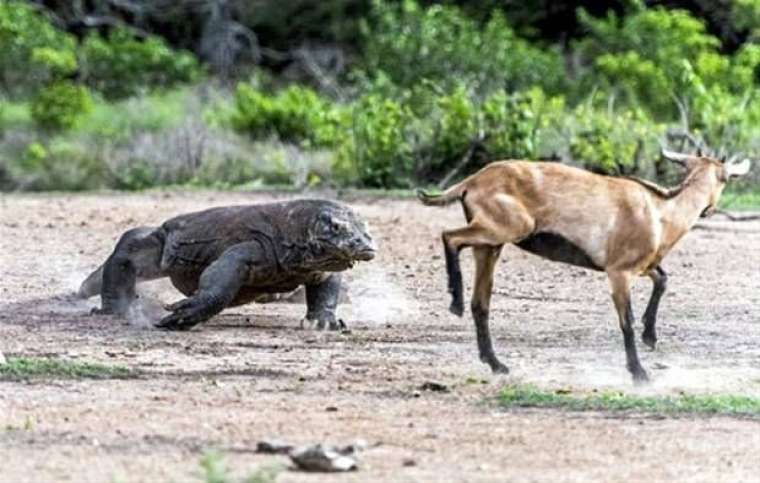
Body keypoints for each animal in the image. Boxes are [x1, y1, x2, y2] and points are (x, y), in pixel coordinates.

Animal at [418, 149, 752, 384]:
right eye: (725, 179)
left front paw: (651, 336)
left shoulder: (643, 266)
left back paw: (496, 363)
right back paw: (455, 302)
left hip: (491, 246)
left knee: (481, 302)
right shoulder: (618, 272)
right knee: (450, 237)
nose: (709, 210)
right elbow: (626, 321)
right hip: (507, 227)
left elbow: (663, 279)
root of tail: (471, 182)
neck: (661, 213)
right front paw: (639, 373)